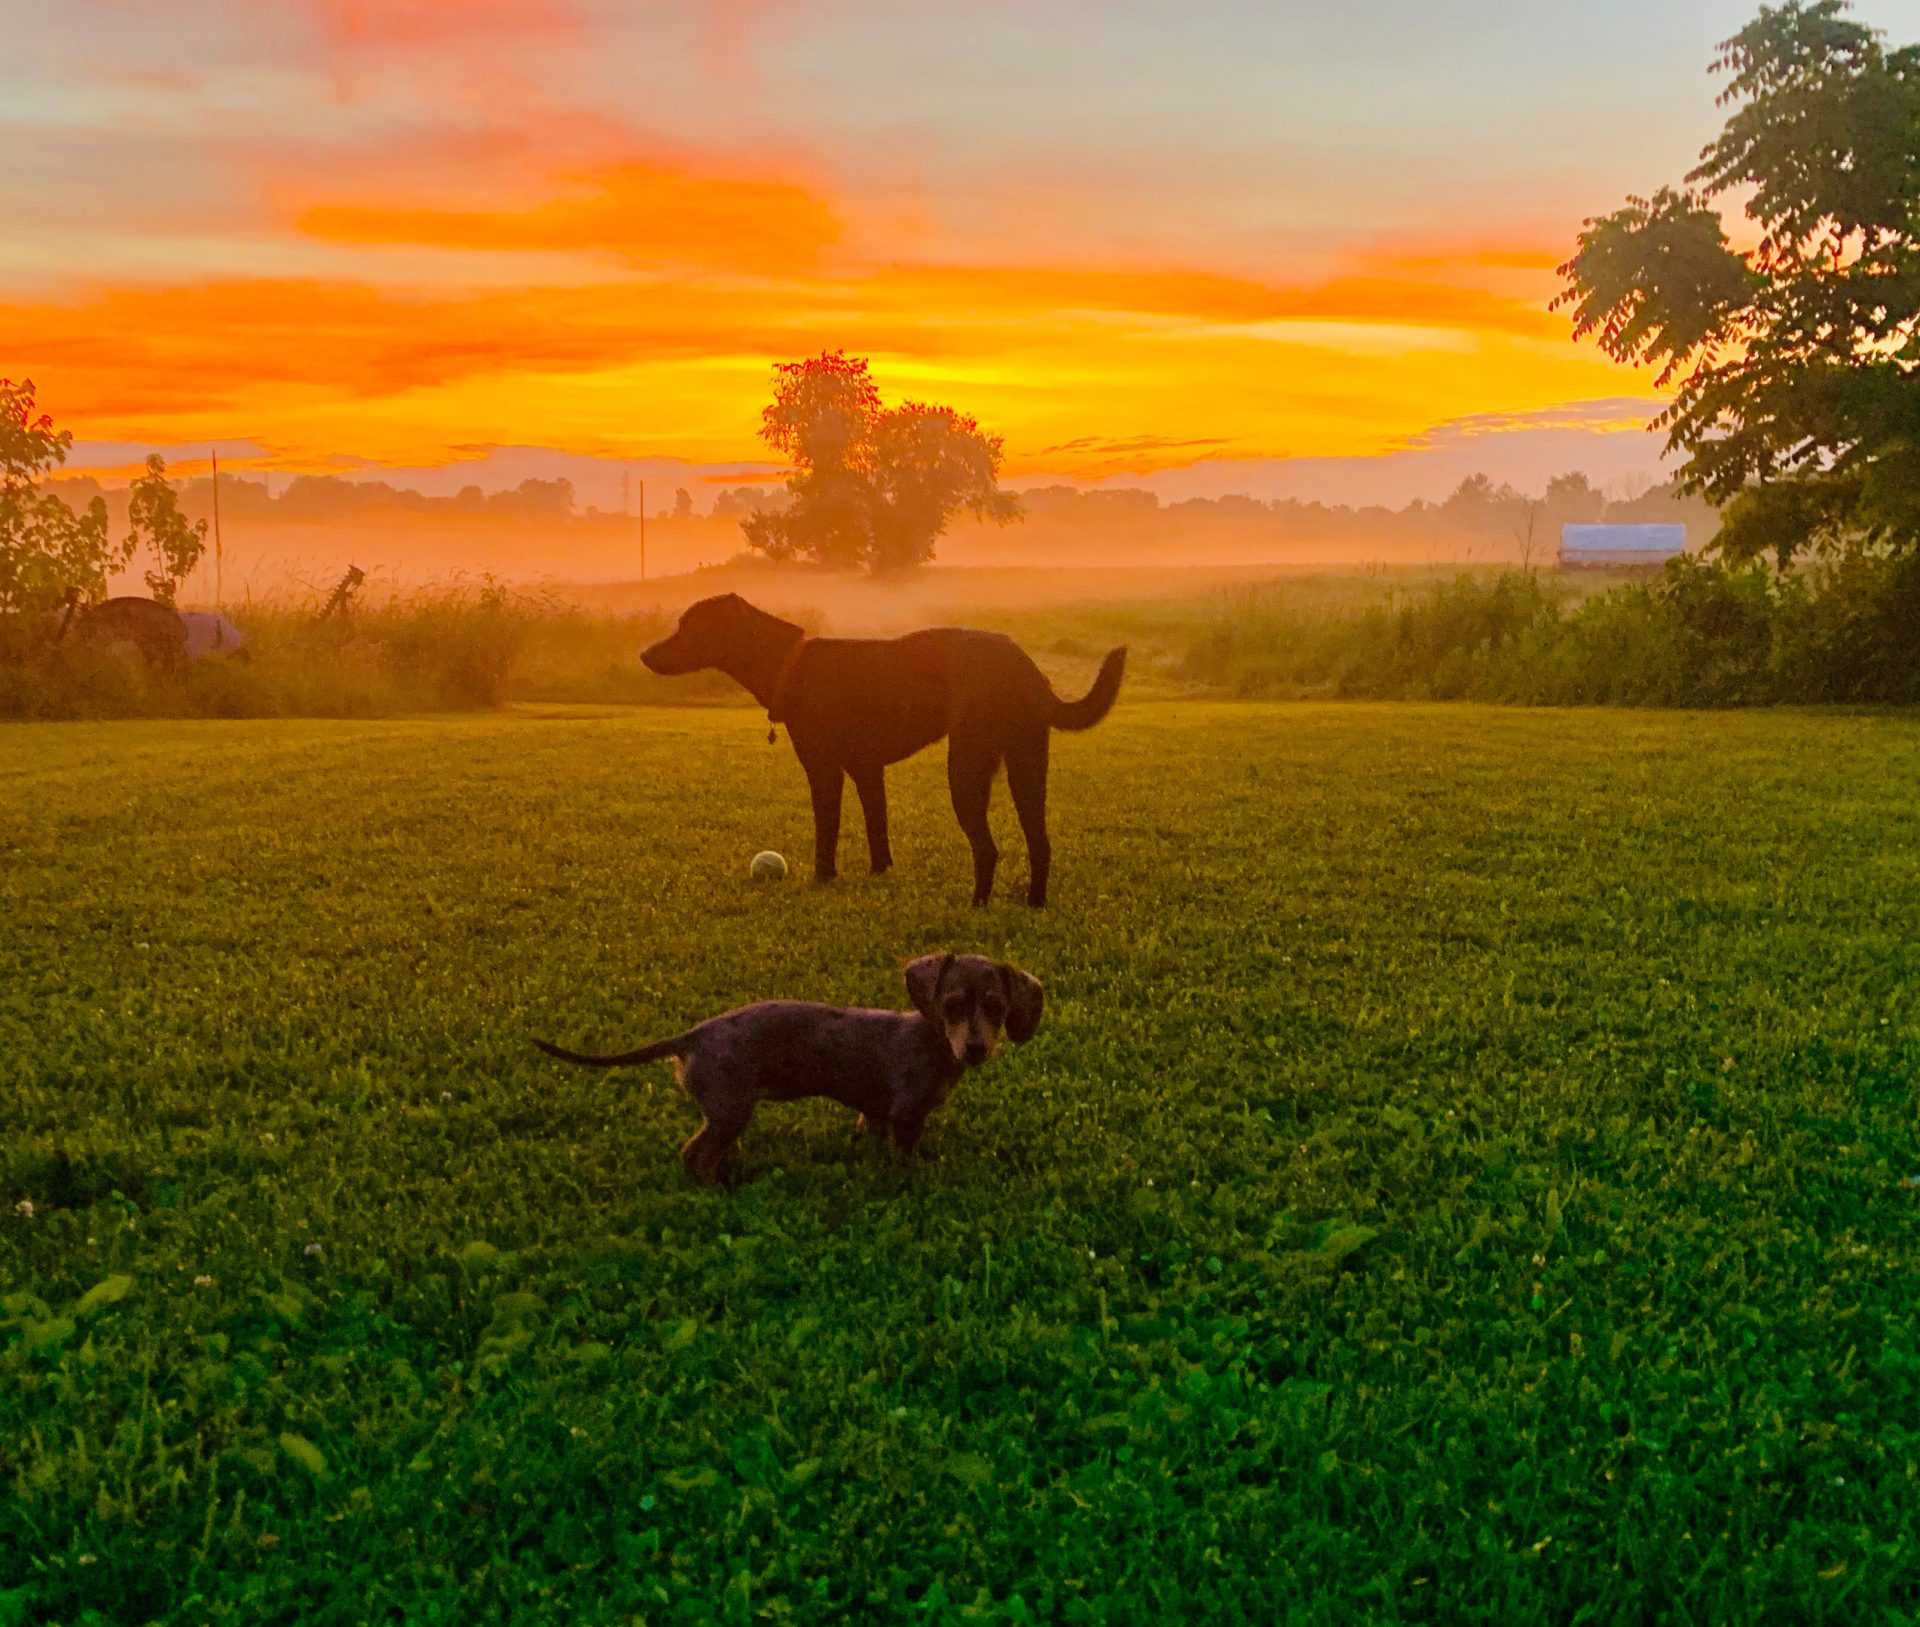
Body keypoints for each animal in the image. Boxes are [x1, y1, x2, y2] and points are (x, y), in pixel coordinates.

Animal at [645, 591, 1121, 910]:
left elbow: (826, 832)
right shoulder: (868, 771)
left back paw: (977, 905)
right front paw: (880, 874)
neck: (788, 662)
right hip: (1027, 767)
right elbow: (879, 831)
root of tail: (1027, 670)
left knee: (987, 848)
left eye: (689, 626)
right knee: (1040, 842)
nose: (644, 653)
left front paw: (823, 878)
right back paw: (1034, 903)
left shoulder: (824, 770)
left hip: (966, 769)